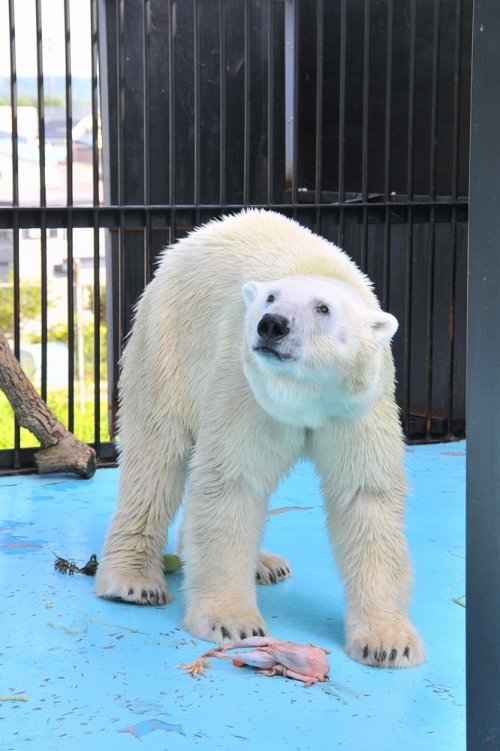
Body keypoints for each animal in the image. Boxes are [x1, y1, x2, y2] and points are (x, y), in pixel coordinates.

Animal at [96, 207, 426, 668]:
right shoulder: (245, 386)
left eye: (323, 308)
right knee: (157, 452)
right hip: (166, 341)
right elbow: (231, 483)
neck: (306, 395)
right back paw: (132, 581)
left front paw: (389, 642)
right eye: (270, 298)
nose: (273, 325)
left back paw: (264, 564)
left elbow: (365, 495)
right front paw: (231, 621)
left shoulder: (358, 404)